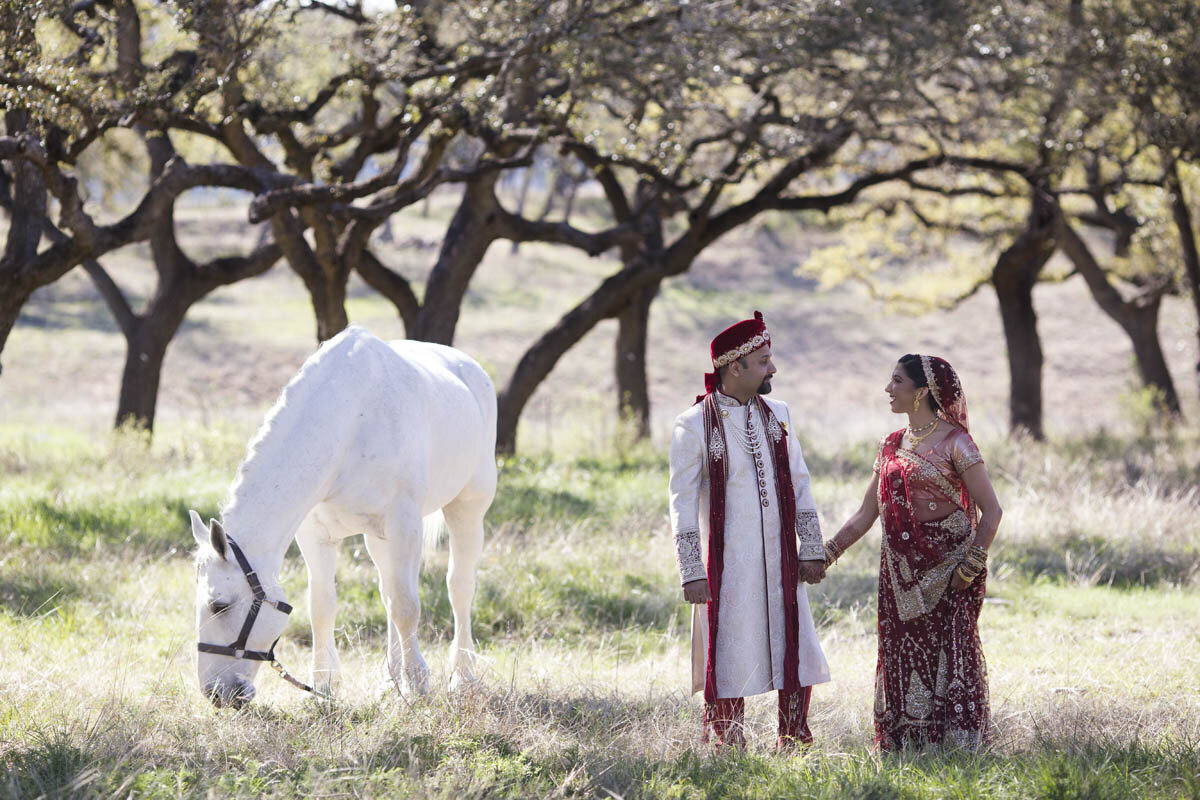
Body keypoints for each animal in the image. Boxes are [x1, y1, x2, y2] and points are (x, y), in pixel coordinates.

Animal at [189, 325, 497, 708]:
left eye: (218, 605)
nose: (216, 693)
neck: (351, 422)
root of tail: (472, 369)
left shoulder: (405, 524)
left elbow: (407, 607)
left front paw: (417, 685)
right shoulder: (315, 534)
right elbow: (323, 606)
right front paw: (324, 688)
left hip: (467, 508)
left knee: (459, 588)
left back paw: (462, 677)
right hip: (377, 538)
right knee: (388, 592)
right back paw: (390, 680)